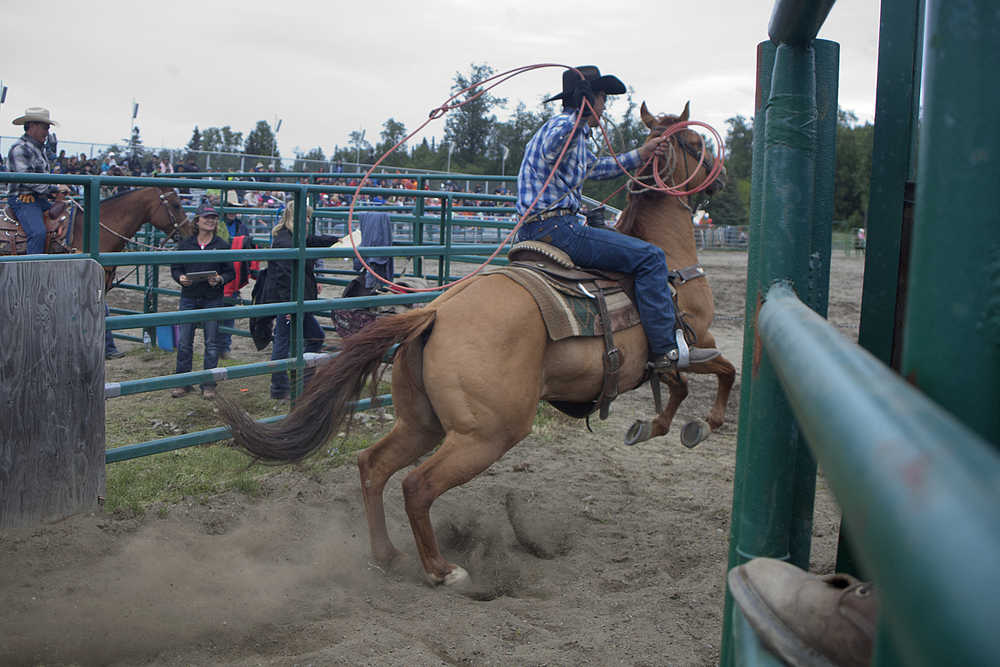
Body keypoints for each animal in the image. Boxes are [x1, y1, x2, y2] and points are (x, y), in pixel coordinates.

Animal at [219, 102, 736, 588]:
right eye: (695, 143)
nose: (723, 178)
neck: (666, 255)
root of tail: (435, 314)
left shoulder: (664, 361)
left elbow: (678, 385)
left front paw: (655, 426)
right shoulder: (696, 341)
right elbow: (720, 370)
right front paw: (703, 424)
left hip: (423, 423)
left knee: (373, 465)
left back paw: (387, 555)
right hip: (487, 434)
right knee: (417, 485)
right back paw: (443, 571)